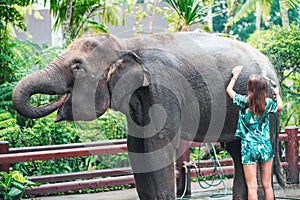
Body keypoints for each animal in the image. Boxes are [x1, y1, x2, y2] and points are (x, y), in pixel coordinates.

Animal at [11, 32, 284, 199]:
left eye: (77, 66)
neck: (125, 45)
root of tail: (269, 65)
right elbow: (136, 146)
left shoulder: (164, 89)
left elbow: (157, 146)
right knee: (238, 154)